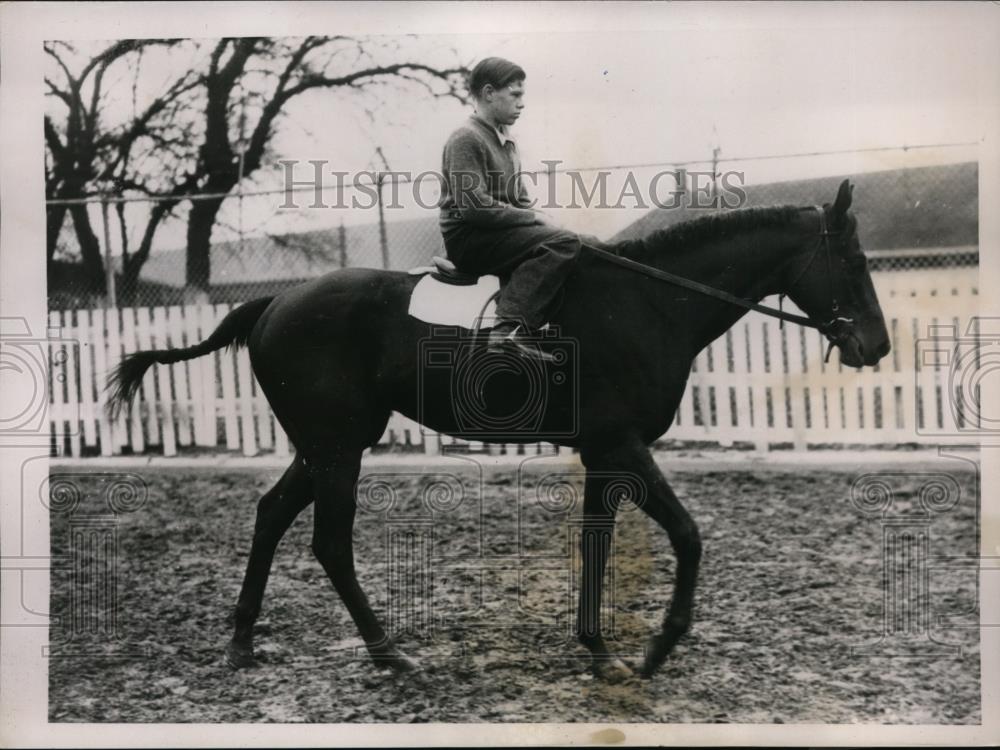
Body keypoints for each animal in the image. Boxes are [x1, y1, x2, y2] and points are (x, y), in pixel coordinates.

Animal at [107, 181, 892, 680]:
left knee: (272, 514)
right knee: (329, 542)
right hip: (337, 449)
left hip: (328, 445)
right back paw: (388, 652)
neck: (646, 302)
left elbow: (597, 543)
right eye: (854, 261)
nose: (877, 346)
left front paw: (598, 649)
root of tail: (272, 304)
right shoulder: (622, 445)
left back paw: (243, 642)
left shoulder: (603, 455)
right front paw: (658, 647)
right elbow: (689, 535)